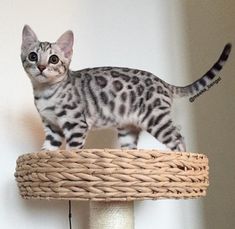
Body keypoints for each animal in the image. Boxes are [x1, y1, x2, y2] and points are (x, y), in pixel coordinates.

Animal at [20, 25, 231, 152]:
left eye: (54, 59)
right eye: (32, 56)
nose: (41, 67)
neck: (45, 93)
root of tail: (163, 82)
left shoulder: (75, 124)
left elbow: (73, 150)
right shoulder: (51, 127)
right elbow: (47, 149)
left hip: (155, 118)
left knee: (178, 136)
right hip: (127, 130)